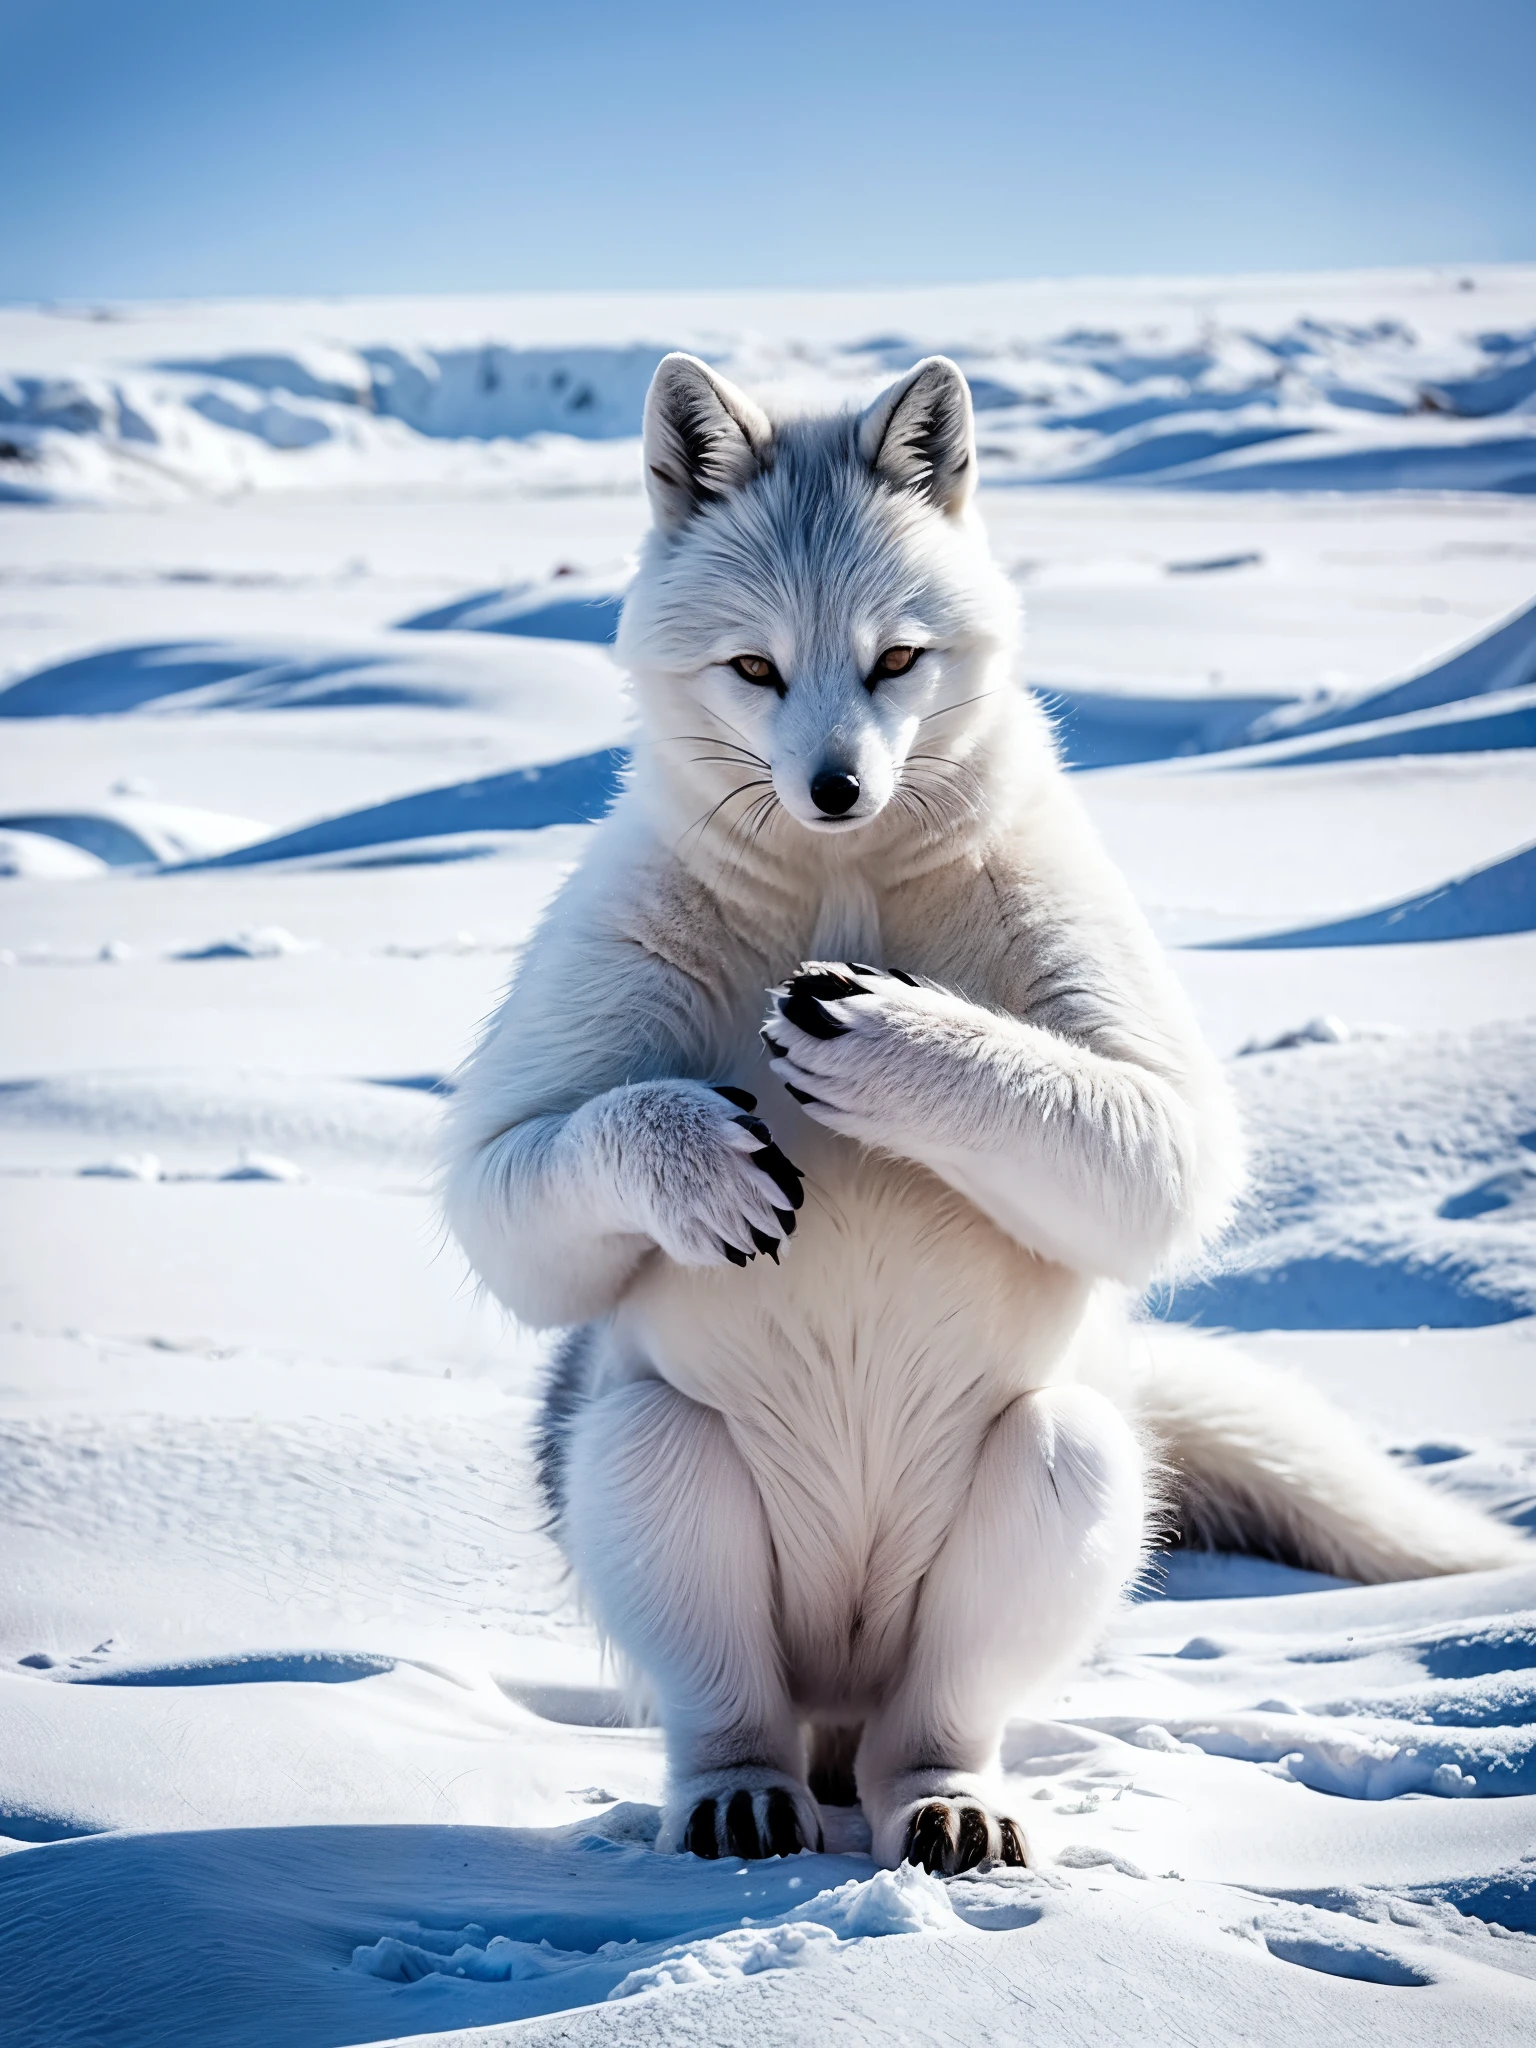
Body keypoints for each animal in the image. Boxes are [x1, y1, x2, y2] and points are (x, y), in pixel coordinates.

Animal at [448, 352, 1531, 1875]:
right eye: (755, 665)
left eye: (897, 658)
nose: (837, 786)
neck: (840, 885)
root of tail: (841, 1688)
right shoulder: (540, 1082)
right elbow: (516, 1184)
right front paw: (706, 1162)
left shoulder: (1138, 1066)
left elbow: (1157, 1145)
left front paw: (883, 1034)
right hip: (653, 1458)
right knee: (728, 1707)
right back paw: (739, 1802)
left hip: (1061, 1467)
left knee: (941, 1716)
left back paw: (952, 1810)